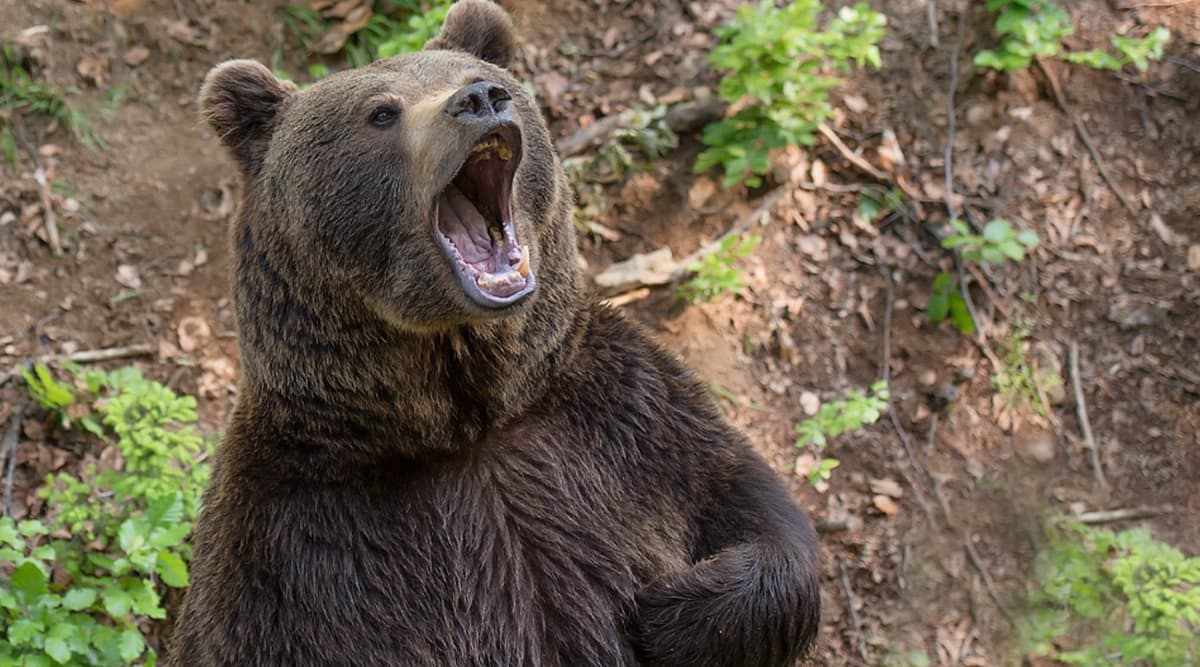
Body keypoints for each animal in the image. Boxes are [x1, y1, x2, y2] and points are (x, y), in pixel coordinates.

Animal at [169, 2, 820, 662]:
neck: (466, 422)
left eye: (474, 75)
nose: (481, 99)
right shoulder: (293, 545)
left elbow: (753, 509)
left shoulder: (632, 424)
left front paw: (671, 613)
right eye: (381, 112)